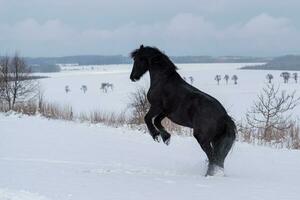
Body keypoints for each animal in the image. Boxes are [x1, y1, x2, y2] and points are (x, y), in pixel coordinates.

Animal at [130, 45, 236, 175]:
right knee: (218, 160)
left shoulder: (156, 107)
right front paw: (166, 138)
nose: (133, 77)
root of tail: (224, 117)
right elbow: (157, 121)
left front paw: (156, 136)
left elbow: (148, 118)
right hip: (216, 141)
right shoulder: (166, 112)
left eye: (138, 59)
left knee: (213, 158)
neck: (163, 81)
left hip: (203, 139)